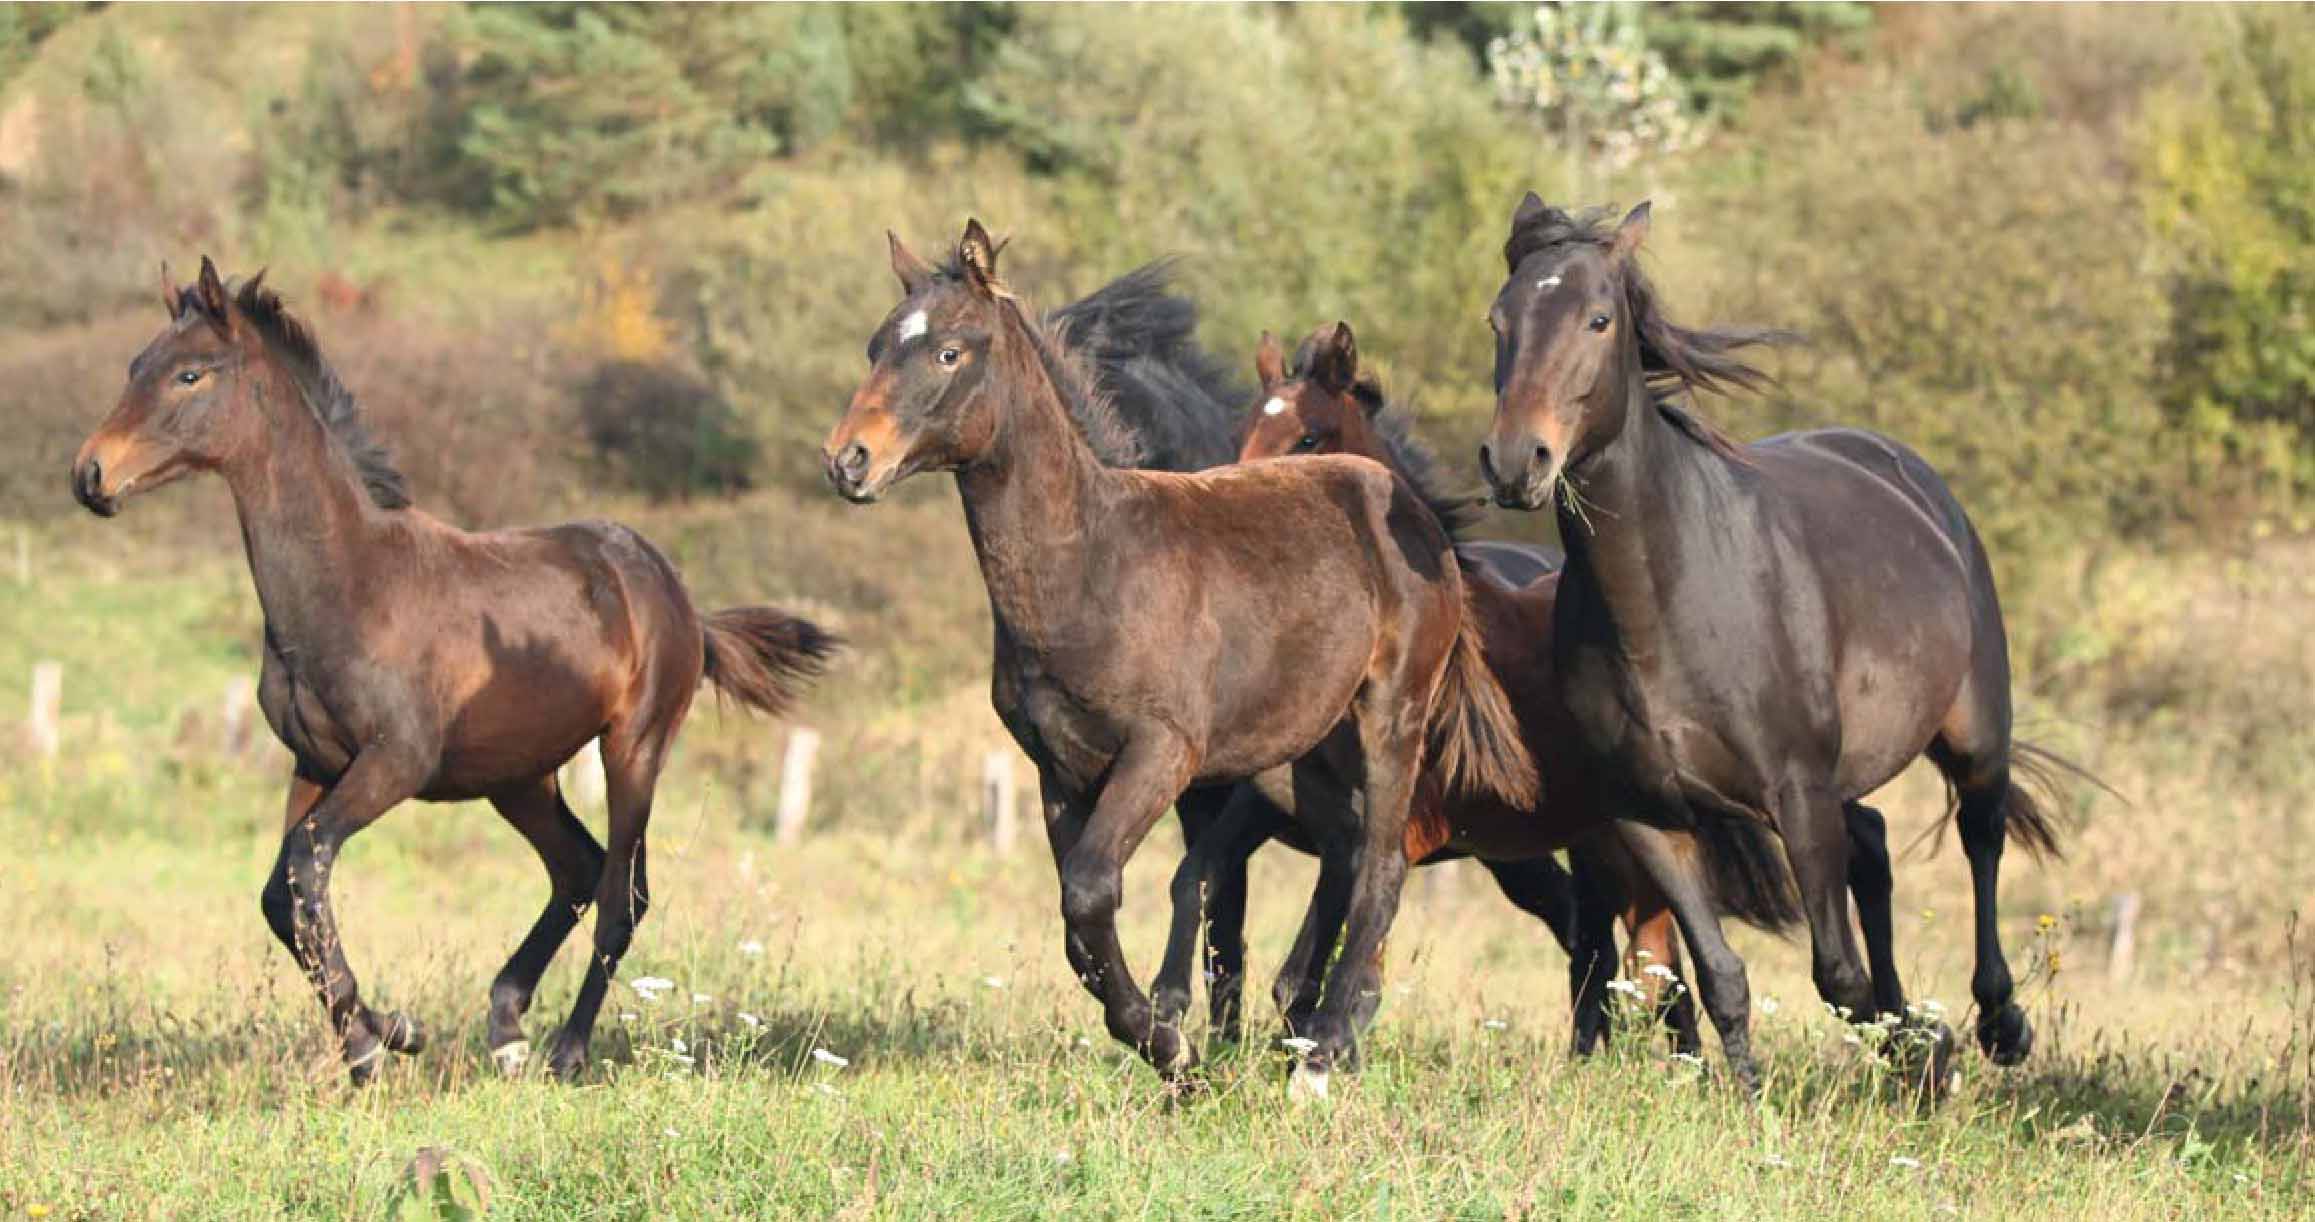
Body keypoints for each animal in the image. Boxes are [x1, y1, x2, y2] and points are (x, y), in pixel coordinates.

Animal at [72, 262, 842, 1083]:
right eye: (135, 365)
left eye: (190, 374)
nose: (90, 474)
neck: (352, 583)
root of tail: (679, 598)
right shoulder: (314, 762)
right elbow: (284, 897)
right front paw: (381, 1036)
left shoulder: (395, 762)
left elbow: (307, 867)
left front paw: (378, 1041)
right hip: (519, 776)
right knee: (577, 869)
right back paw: (505, 1026)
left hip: (632, 749)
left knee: (620, 895)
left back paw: (567, 1051)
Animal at [819, 222, 1537, 1087]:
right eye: (876, 346)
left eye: (950, 352)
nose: (848, 459)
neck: (1094, 563)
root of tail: (1423, 525)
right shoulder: (1057, 769)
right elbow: (1082, 925)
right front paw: (1170, 1050)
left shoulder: (1162, 751)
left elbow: (1093, 890)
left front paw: (1175, 1051)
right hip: (1305, 759)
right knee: (1346, 855)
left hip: (1391, 722)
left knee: (1380, 869)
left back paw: (1324, 1051)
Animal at [1481, 197, 2083, 1087]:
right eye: (1499, 320)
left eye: (1597, 319)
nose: (1516, 460)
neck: (1668, 601)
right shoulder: (1646, 816)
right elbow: (1720, 975)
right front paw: (1752, 1092)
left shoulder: (1797, 795)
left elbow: (1836, 975)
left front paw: (1920, 1052)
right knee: (1873, 847)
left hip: (1973, 734)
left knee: (1980, 840)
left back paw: (1998, 1024)